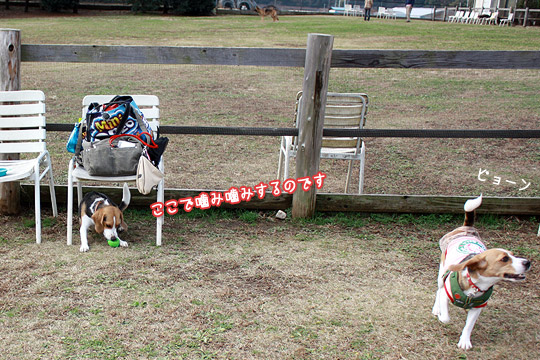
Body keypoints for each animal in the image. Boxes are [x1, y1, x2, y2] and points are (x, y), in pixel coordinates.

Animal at [430, 195, 532, 350]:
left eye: (513, 255)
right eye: (504, 259)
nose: (527, 262)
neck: (476, 285)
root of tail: (467, 227)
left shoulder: (478, 307)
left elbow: (469, 325)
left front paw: (464, 342)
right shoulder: (446, 293)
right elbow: (446, 317)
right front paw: (442, 316)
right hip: (442, 271)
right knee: (439, 289)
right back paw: (436, 309)